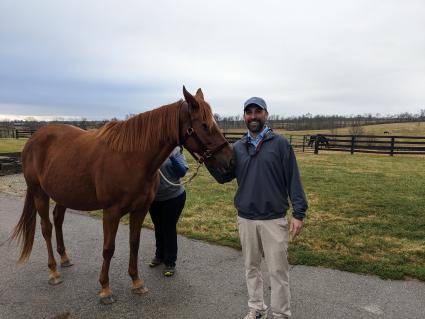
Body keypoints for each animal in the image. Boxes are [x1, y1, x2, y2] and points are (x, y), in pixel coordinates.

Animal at [9, 87, 234, 304]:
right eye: (204, 125)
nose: (230, 161)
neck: (132, 159)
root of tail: (33, 138)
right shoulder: (111, 212)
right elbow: (109, 248)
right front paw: (105, 289)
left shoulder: (140, 209)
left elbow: (134, 243)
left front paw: (136, 282)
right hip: (40, 194)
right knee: (46, 228)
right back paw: (54, 272)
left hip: (64, 194)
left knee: (58, 219)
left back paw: (64, 258)